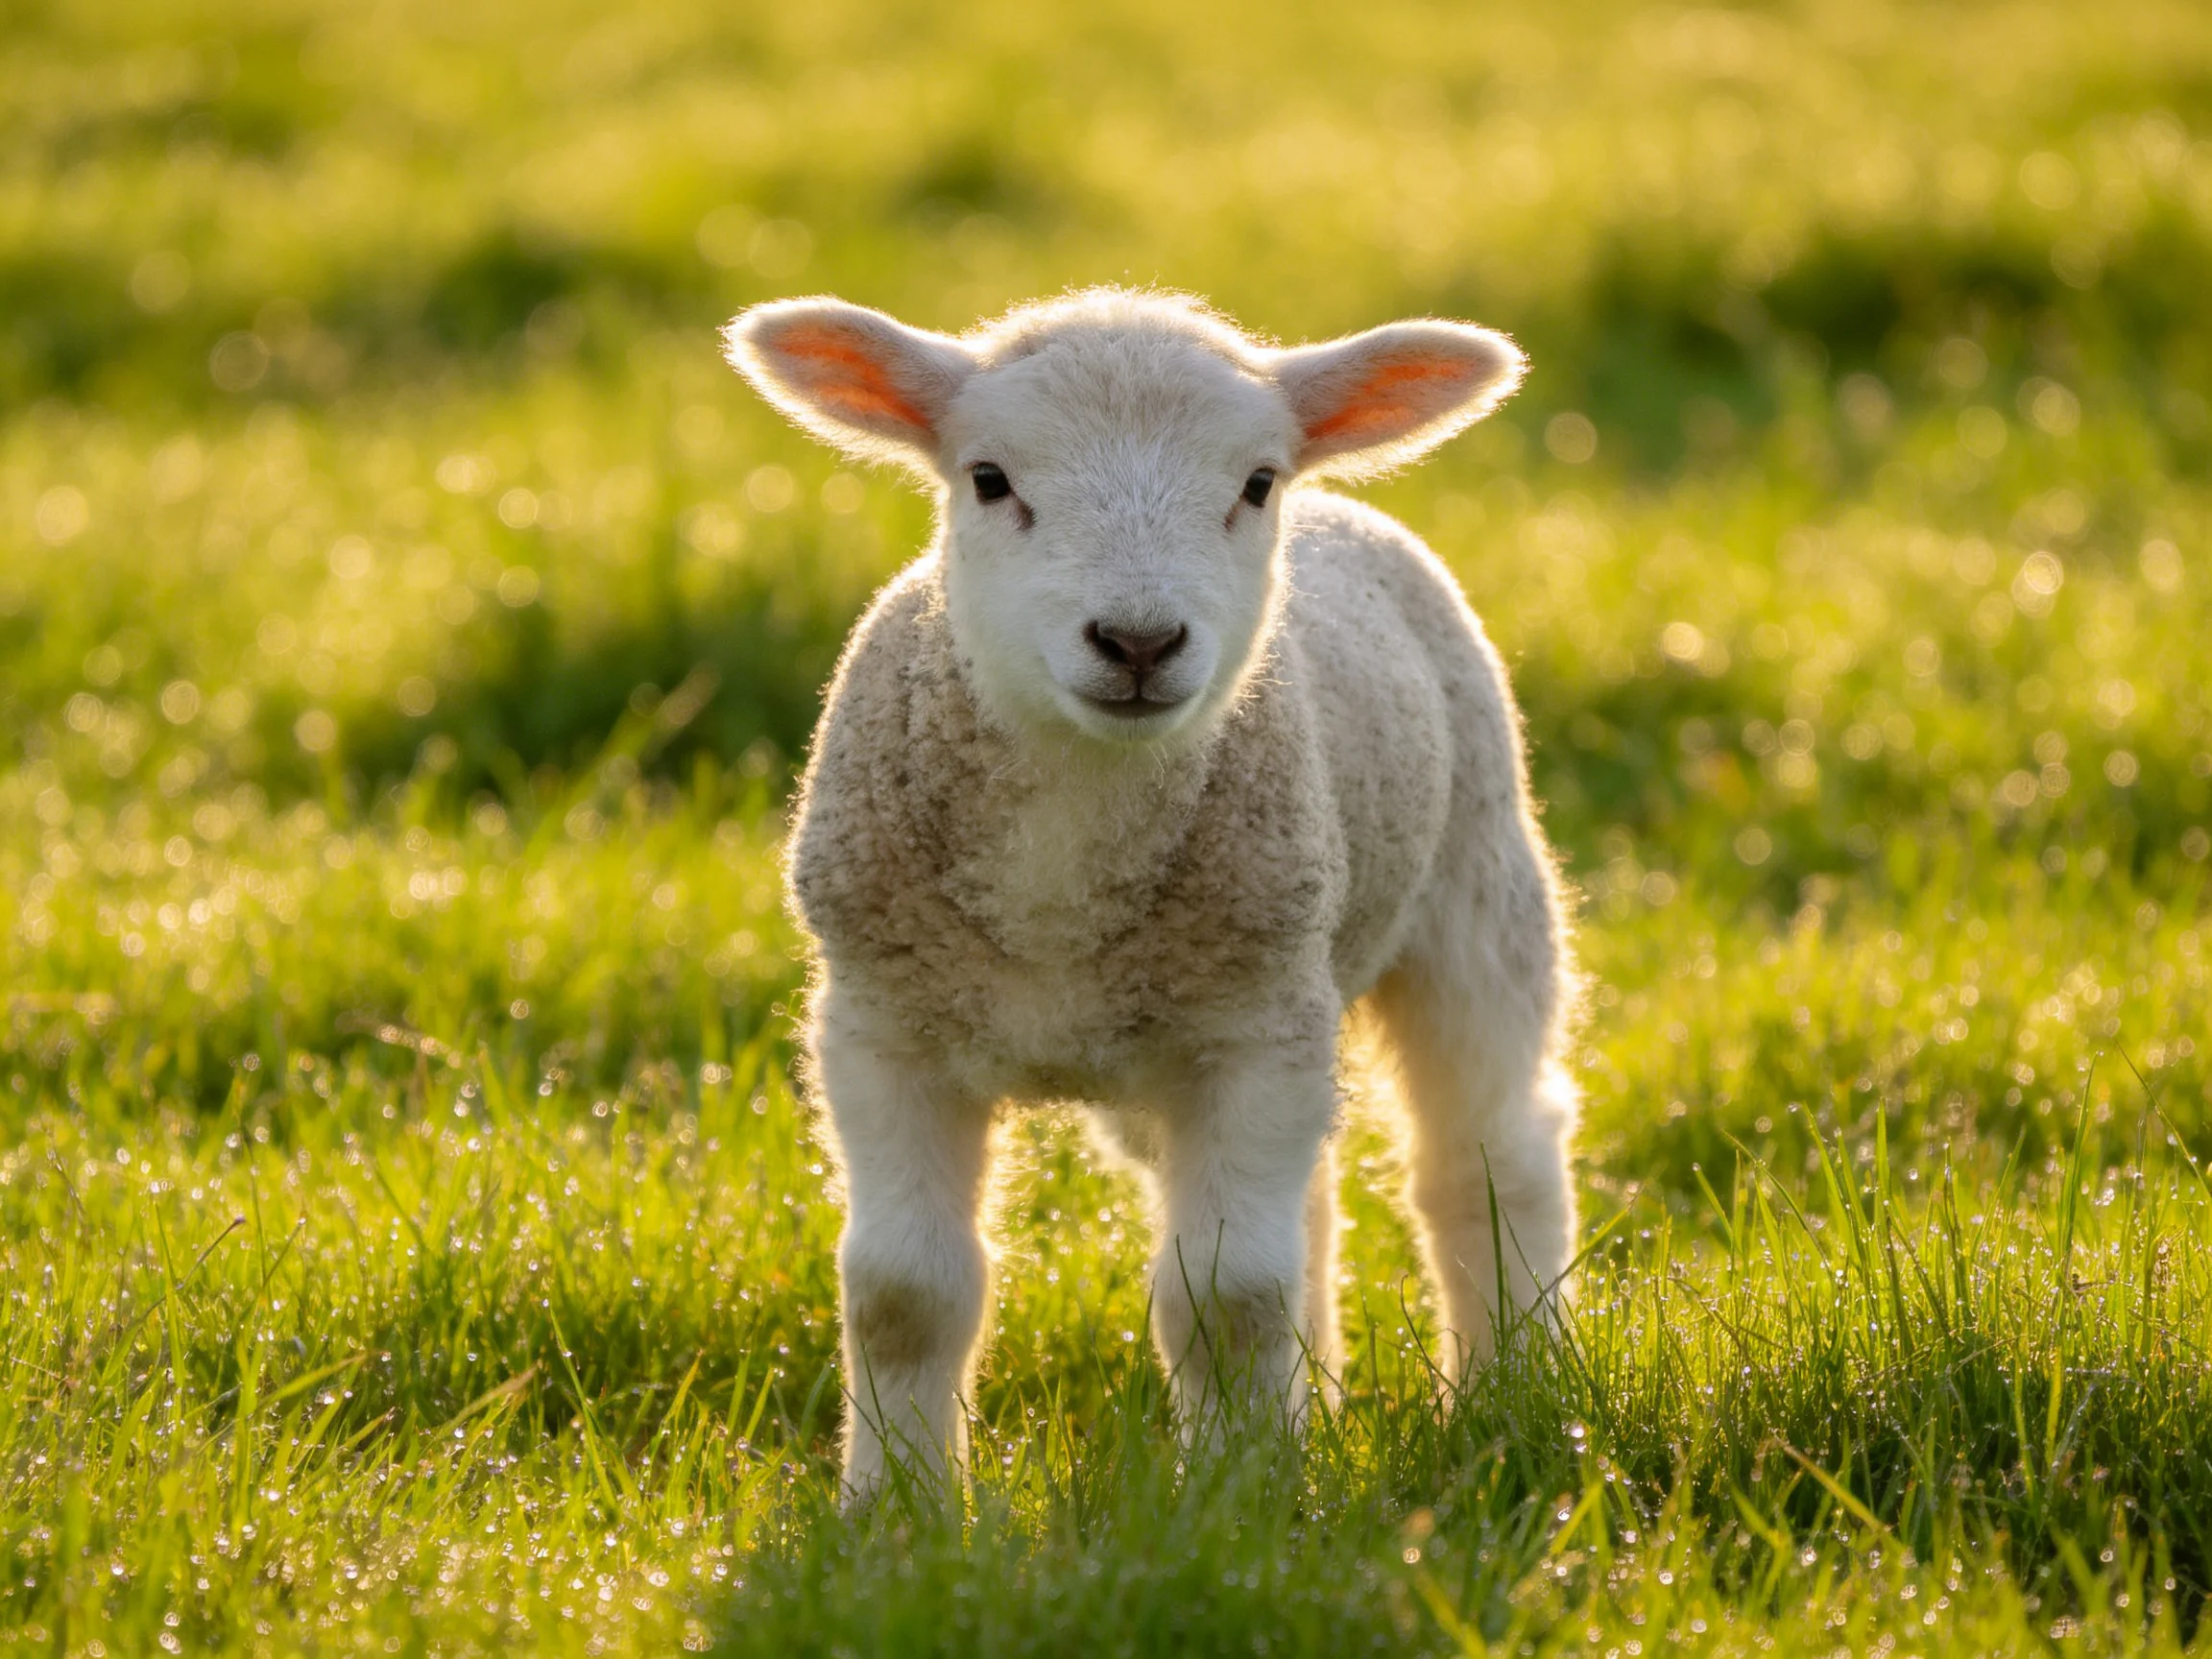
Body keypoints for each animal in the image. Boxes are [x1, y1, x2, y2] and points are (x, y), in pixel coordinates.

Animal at [723, 287, 1579, 1499]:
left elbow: (1229, 1299)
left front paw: (1239, 1503)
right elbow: (903, 1296)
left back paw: (1514, 1396)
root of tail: (1346, 512)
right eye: (989, 479)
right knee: (1316, 1201)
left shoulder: (1250, 1030)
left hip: (1474, 887)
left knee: (1488, 1158)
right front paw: (896, 1508)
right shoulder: (883, 1029)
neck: (1062, 883)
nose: (1138, 641)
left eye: (1255, 482)